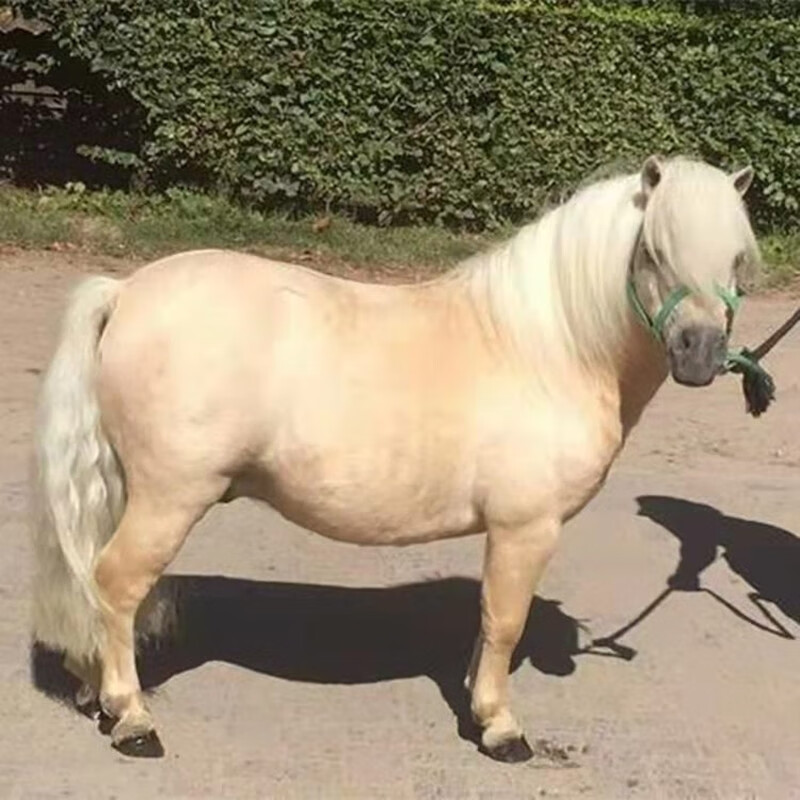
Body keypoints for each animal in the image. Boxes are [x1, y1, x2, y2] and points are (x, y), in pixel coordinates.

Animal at [31, 155, 759, 762]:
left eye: (736, 262)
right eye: (654, 252)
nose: (700, 355)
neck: (549, 349)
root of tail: (125, 291)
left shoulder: (506, 533)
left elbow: (487, 621)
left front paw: (477, 702)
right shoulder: (527, 527)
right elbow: (506, 622)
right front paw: (500, 728)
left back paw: (95, 693)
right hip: (170, 497)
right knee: (117, 582)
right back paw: (132, 719)